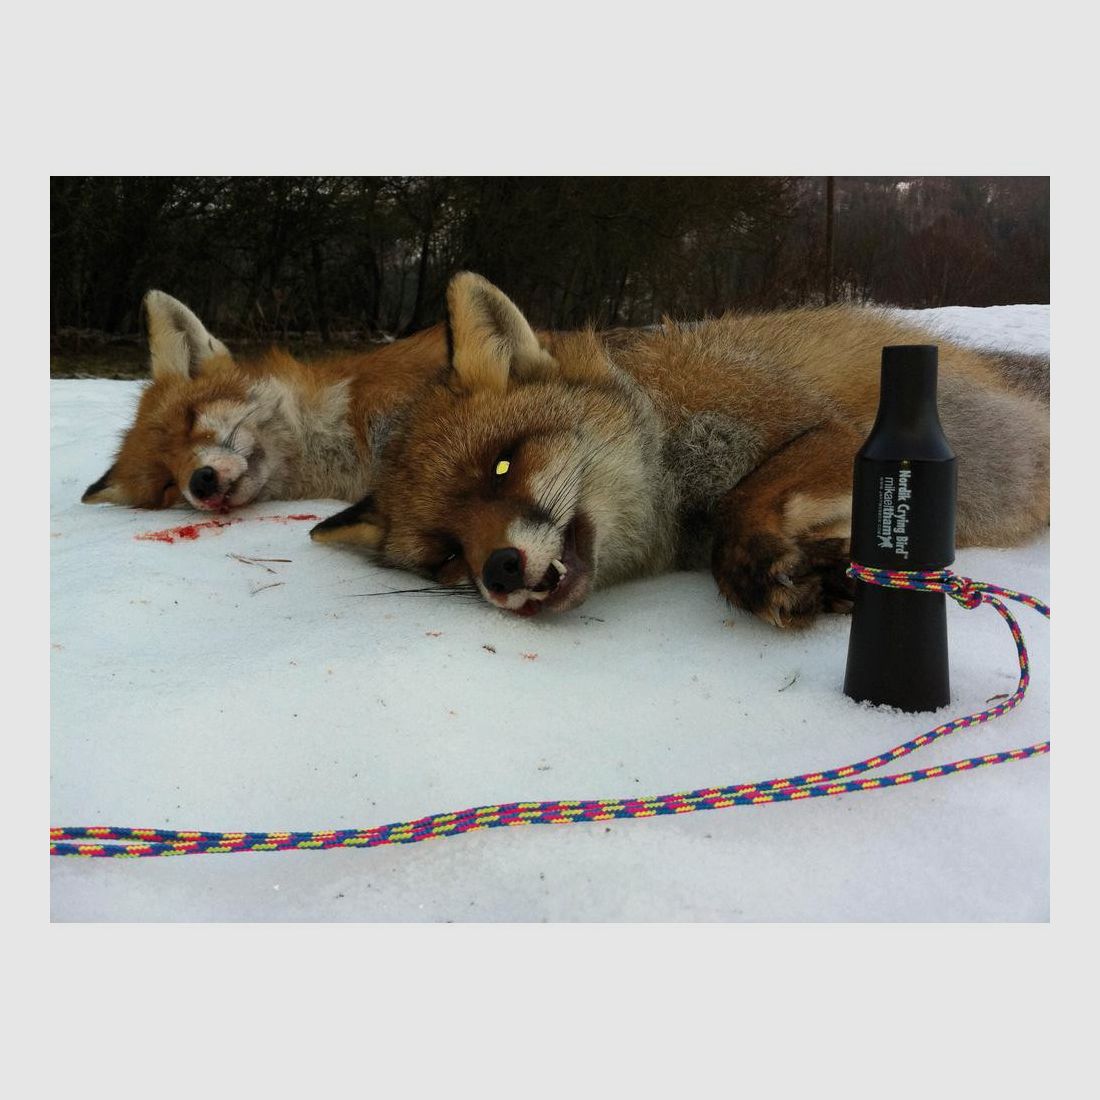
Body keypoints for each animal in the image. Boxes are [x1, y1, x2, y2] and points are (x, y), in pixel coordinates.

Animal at [311, 272, 1049, 628]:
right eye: (445, 556)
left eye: (503, 464)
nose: (498, 572)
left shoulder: (837, 431)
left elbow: (744, 502)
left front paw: (756, 569)